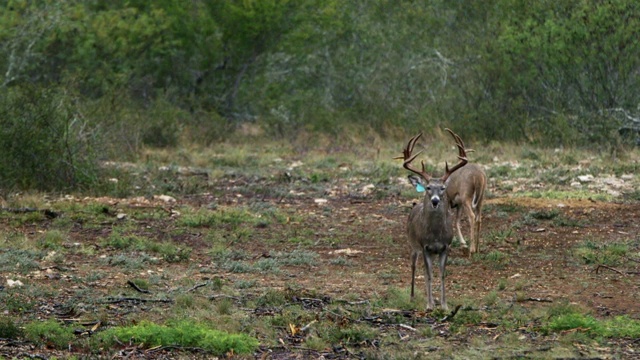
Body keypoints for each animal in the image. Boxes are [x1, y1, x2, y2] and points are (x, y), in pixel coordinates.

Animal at [398, 129, 468, 310]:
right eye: (428, 187)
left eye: (442, 188)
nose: (435, 200)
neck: (436, 234)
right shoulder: (425, 246)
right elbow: (429, 274)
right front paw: (429, 305)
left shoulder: (445, 246)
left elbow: (442, 274)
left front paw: (444, 305)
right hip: (412, 245)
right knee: (415, 267)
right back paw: (413, 297)